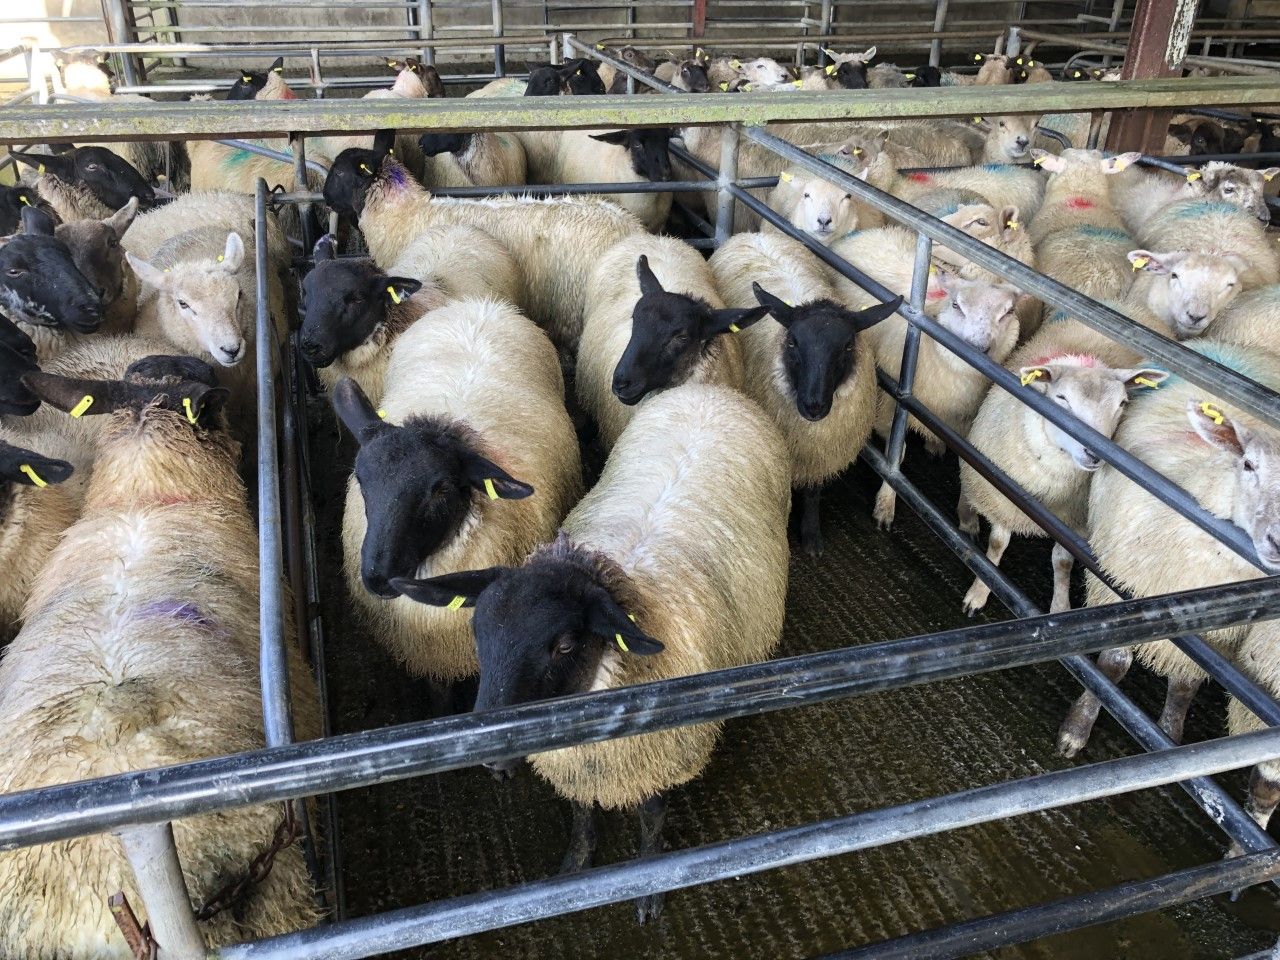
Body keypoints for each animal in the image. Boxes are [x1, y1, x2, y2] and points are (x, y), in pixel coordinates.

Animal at [390, 380, 791, 923]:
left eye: (564, 644)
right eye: (478, 632)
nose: (490, 757)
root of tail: (711, 391)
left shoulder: (657, 755)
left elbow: (652, 816)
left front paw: (649, 883)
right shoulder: (579, 764)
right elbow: (581, 814)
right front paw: (575, 866)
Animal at [709, 231, 900, 554]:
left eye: (847, 346)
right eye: (793, 343)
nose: (813, 406)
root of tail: (754, 234)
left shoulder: (818, 452)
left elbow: (813, 492)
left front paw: (811, 536)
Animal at [957, 329, 1167, 616]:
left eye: (1122, 403)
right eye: (1062, 399)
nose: (1095, 454)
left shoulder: (1072, 522)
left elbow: (1062, 561)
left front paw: (1059, 605)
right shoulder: (1000, 498)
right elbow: (998, 544)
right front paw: (979, 591)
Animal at [1057, 339, 1280, 758]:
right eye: (1248, 464)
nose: (1276, 539)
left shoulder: (1217, 636)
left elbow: (1186, 682)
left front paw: (1171, 735)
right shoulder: (1121, 588)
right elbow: (1113, 664)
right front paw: (1078, 726)